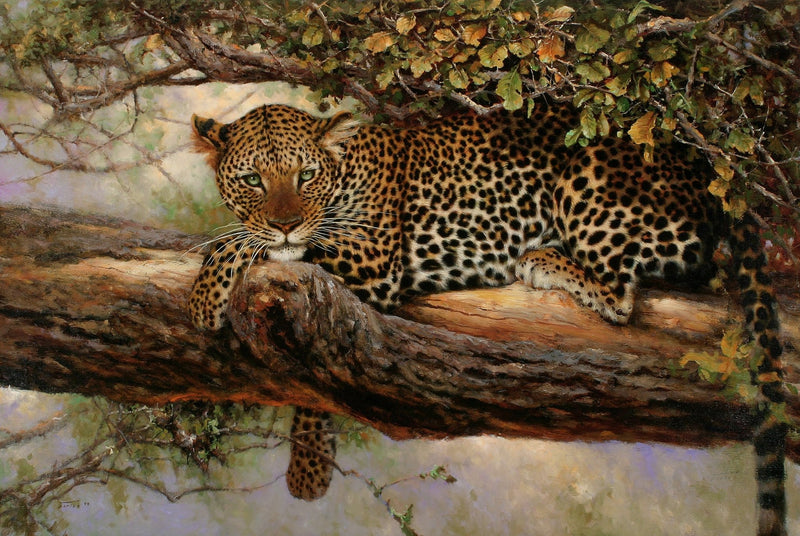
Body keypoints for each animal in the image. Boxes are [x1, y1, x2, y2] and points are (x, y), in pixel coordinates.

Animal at [189, 101, 785, 534]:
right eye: (252, 181)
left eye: (306, 174)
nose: (286, 222)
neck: (345, 170)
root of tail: (706, 166)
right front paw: (309, 469)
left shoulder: (373, 255)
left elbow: (258, 249)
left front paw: (206, 293)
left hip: (586, 173)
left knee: (620, 294)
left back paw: (542, 259)